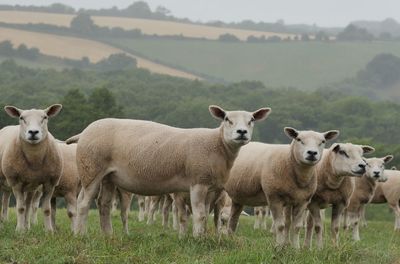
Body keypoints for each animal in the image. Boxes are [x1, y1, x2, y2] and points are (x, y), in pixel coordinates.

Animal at [0, 104, 62, 232]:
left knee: (14, 202)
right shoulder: (16, 183)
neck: (34, 160)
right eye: (21, 118)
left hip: (29, 187)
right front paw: (19, 230)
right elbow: (20, 208)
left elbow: (46, 209)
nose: (33, 132)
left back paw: (23, 225)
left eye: (45, 117)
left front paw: (49, 231)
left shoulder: (50, 183)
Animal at [66, 104, 272, 235]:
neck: (217, 145)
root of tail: (83, 133)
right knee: (83, 203)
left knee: (104, 204)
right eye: (227, 119)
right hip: (91, 169)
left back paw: (108, 235)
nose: (241, 132)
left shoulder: (212, 189)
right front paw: (198, 239)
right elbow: (199, 215)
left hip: (108, 177)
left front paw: (203, 236)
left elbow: (206, 215)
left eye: (252, 120)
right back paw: (81, 235)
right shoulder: (198, 182)